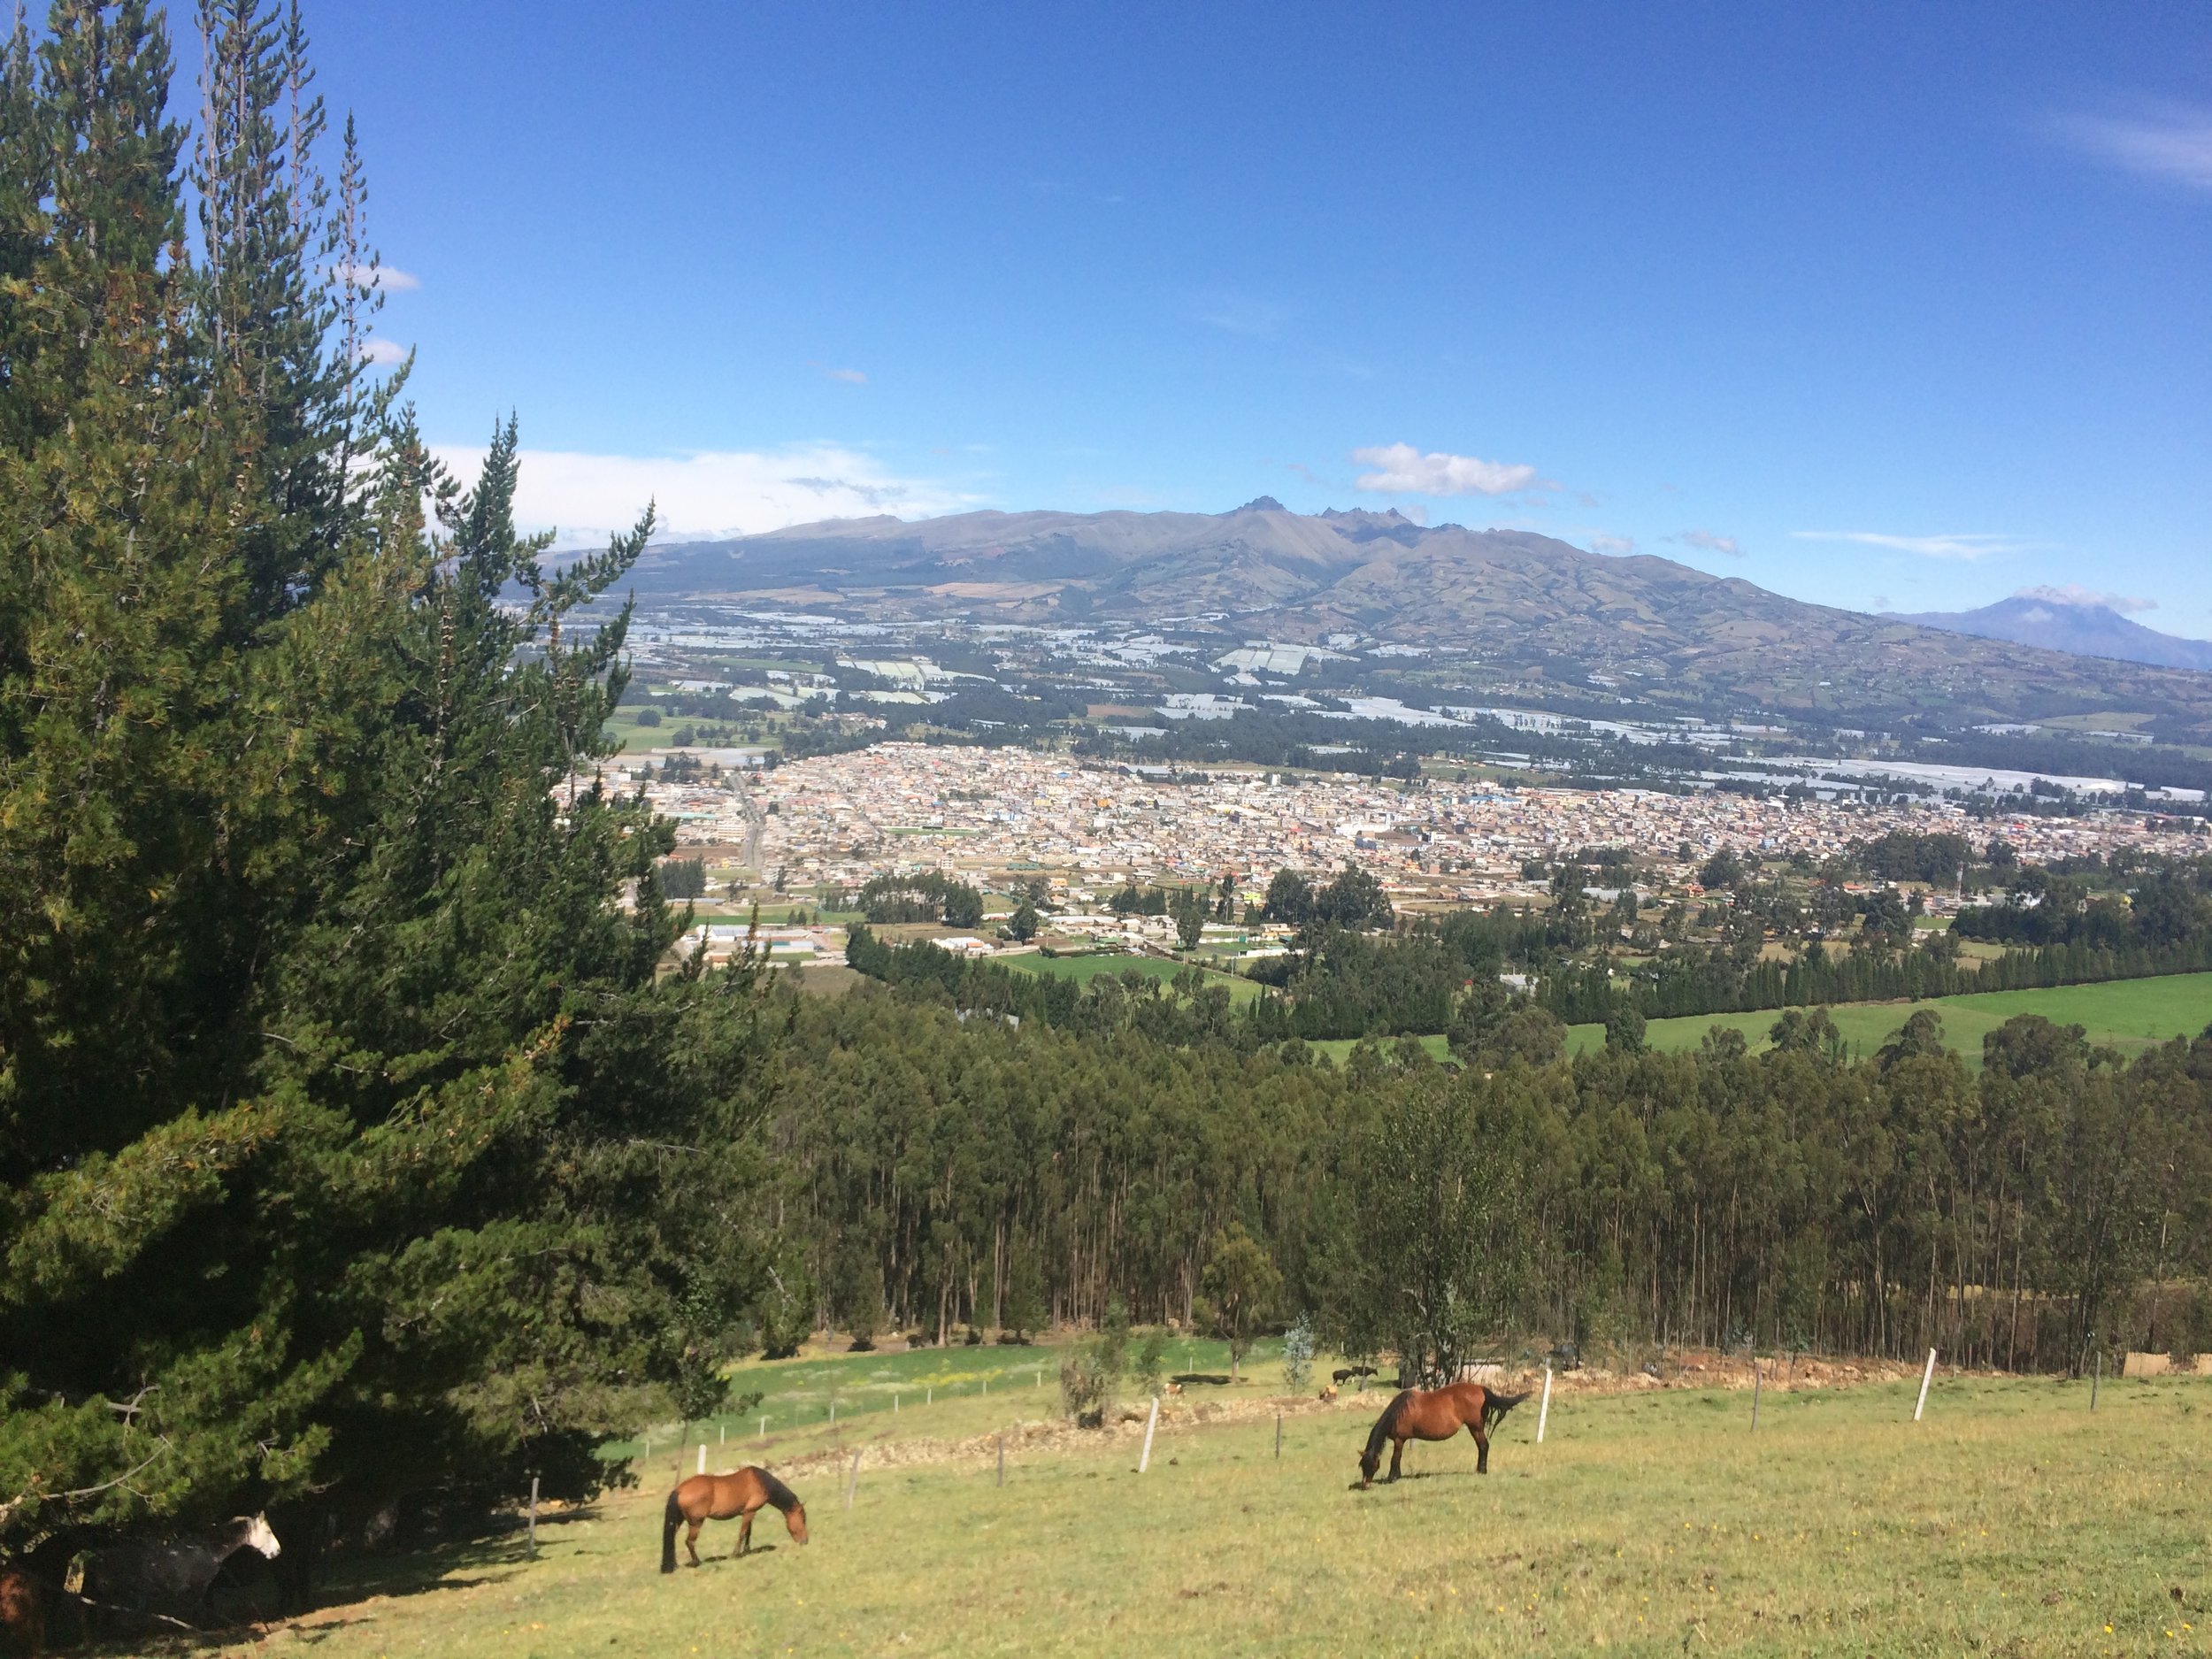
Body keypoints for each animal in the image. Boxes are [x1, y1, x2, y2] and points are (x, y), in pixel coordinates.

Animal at [659, 1478, 810, 1575]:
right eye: (803, 1519)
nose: (805, 1541)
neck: (761, 1482)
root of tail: (679, 1490)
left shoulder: (749, 1513)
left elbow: (748, 1532)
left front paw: (747, 1550)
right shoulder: (749, 1512)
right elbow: (742, 1533)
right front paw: (736, 1554)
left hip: (679, 1521)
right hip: (696, 1523)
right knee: (690, 1541)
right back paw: (697, 1562)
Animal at [1354, 1380, 1531, 1495]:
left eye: (1372, 1466)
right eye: (1362, 1466)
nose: (1365, 1486)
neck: (1398, 1413)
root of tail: (1480, 1388)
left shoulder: (1399, 1440)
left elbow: (1395, 1459)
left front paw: (1392, 1478)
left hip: (1475, 1427)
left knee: (1483, 1446)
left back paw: (1481, 1470)